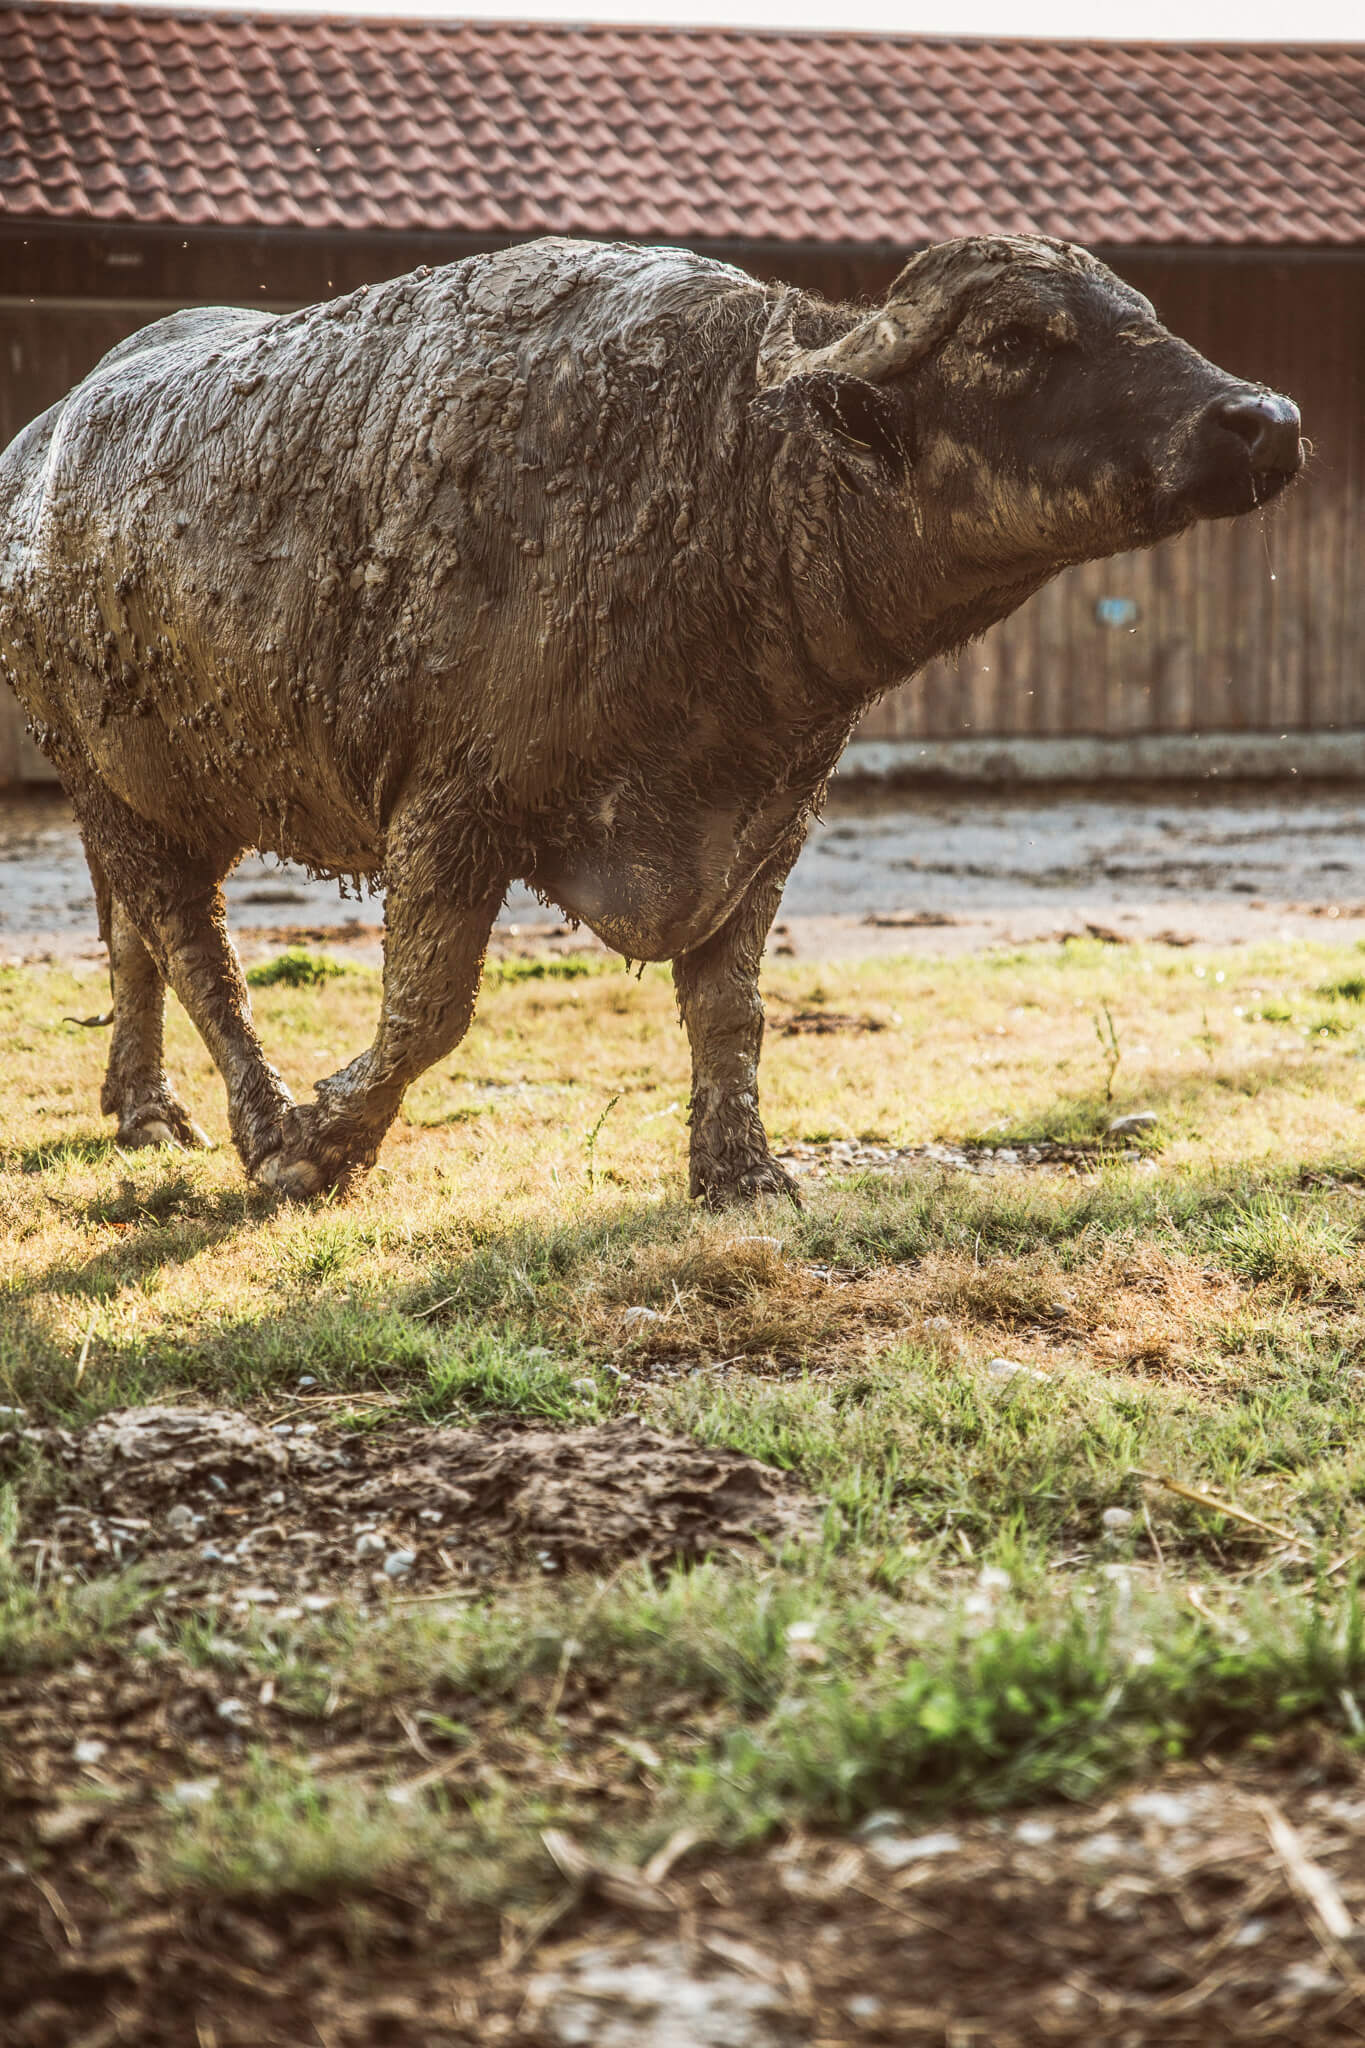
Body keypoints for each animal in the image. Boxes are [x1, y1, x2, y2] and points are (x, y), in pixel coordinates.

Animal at [0, 235, 1301, 1196]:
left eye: (1141, 310)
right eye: (1014, 338)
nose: (1263, 421)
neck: (724, 485)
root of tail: (39, 451)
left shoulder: (767, 819)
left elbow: (733, 1009)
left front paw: (741, 1172)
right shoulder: (451, 809)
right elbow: (428, 1012)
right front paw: (325, 1143)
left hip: (167, 788)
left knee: (134, 937)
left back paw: (144, 1108)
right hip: (98, 774)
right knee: (192, 944)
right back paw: (262, 1123)